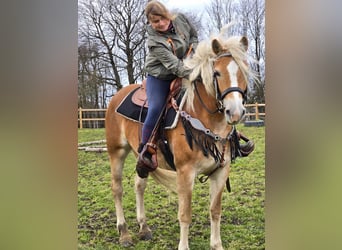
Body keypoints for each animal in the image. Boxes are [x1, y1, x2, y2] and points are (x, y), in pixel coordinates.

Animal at [105, 33, 256, 250]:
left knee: (139, 185)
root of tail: (116, 96)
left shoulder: (221, 171)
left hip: (142, 158)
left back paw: (144, 228)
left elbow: (215, 211)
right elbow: (185, 214)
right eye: (216, 73)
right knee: (117, 189)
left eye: (244, 70)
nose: (235, 112)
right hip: (116, 151)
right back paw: (124, 232)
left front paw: (217, 245)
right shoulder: (185, 172)